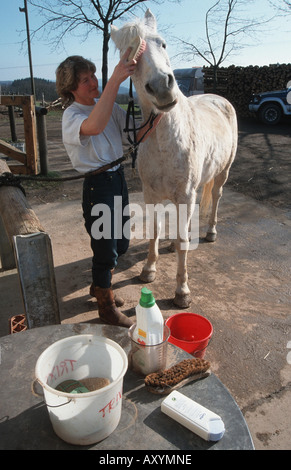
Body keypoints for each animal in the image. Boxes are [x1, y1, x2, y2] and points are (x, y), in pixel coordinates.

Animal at [110, 10, 238, 308]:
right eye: (129, 55)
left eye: (163, 44)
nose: (161, 87)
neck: (164, 138)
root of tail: (219, 99)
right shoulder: (151, 194)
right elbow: (156, 231)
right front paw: (148, 270)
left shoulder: (184, 193)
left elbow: (181, 243)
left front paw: (182, 291)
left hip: (222, 173)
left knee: (216, 197)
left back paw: (211, 232)